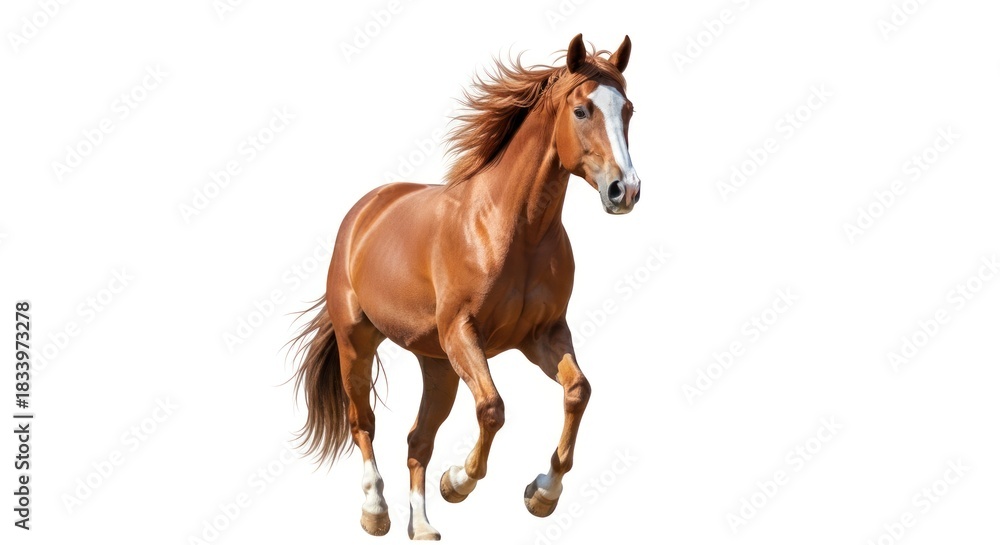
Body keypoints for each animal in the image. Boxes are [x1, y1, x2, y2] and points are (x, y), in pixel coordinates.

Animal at [289, 33, 641, 540]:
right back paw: (375, 511)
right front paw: (457, 482)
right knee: (363, 423)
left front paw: (543, 494)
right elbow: (493, 408)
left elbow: (578, 391)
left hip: (438, 365)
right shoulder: (463, 332)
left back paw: (422, 527)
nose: (624, 190)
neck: (515, 231)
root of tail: (364, 211)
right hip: (358, 341)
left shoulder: (543, 336)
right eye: (582, 110)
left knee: (418, 439)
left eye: (628, 109)